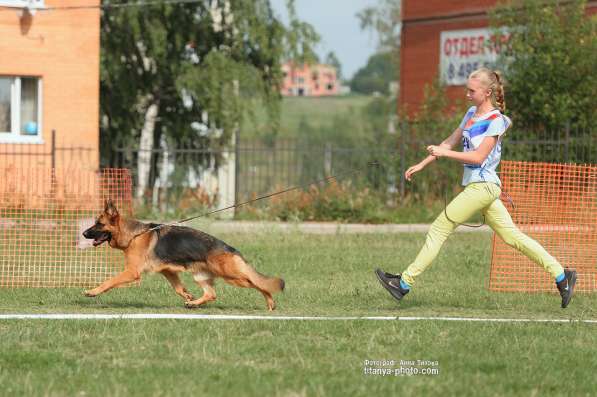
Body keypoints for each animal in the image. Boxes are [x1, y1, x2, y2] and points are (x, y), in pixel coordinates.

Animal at [81, 201, 284, 310]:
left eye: (99, 224)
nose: (83, 233)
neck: (134, 235)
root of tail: (230, 248)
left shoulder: (132, 272)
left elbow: (109, 281)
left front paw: (93, 291)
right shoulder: (168, 271)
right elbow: (178, 288)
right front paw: (188, 296)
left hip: (233, 276)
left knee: (257, 283)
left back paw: (270, 301)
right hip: (201, 276)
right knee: (211, 294)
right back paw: (194, 304)